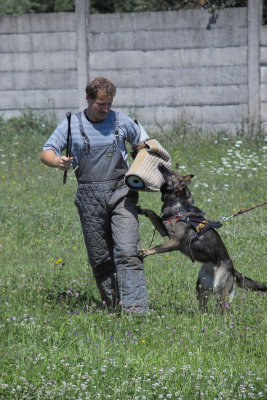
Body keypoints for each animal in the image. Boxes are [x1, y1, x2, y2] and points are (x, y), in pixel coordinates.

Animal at [138, 163, 267, 312]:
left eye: (171, 173)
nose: (160, 164)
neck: (179, 207)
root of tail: (233, 269)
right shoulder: (164, 230)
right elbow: (152, 213)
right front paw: (141, 209)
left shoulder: (174, 242)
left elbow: (156, 247)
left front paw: (145, 251)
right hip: (201, 287)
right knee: (203, 307)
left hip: (219, 290)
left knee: (225, 309)